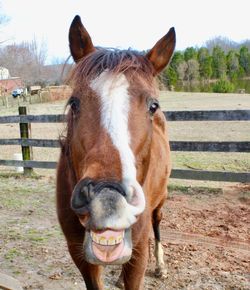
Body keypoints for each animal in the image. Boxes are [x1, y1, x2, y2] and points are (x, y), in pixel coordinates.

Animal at [56, 15, 176, 290]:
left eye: (153, 106)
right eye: (74, 103)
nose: (108, 199)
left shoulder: (139, 251)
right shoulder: (78, 252)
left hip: (160, 202)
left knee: (157, 224)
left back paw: (161, 266)